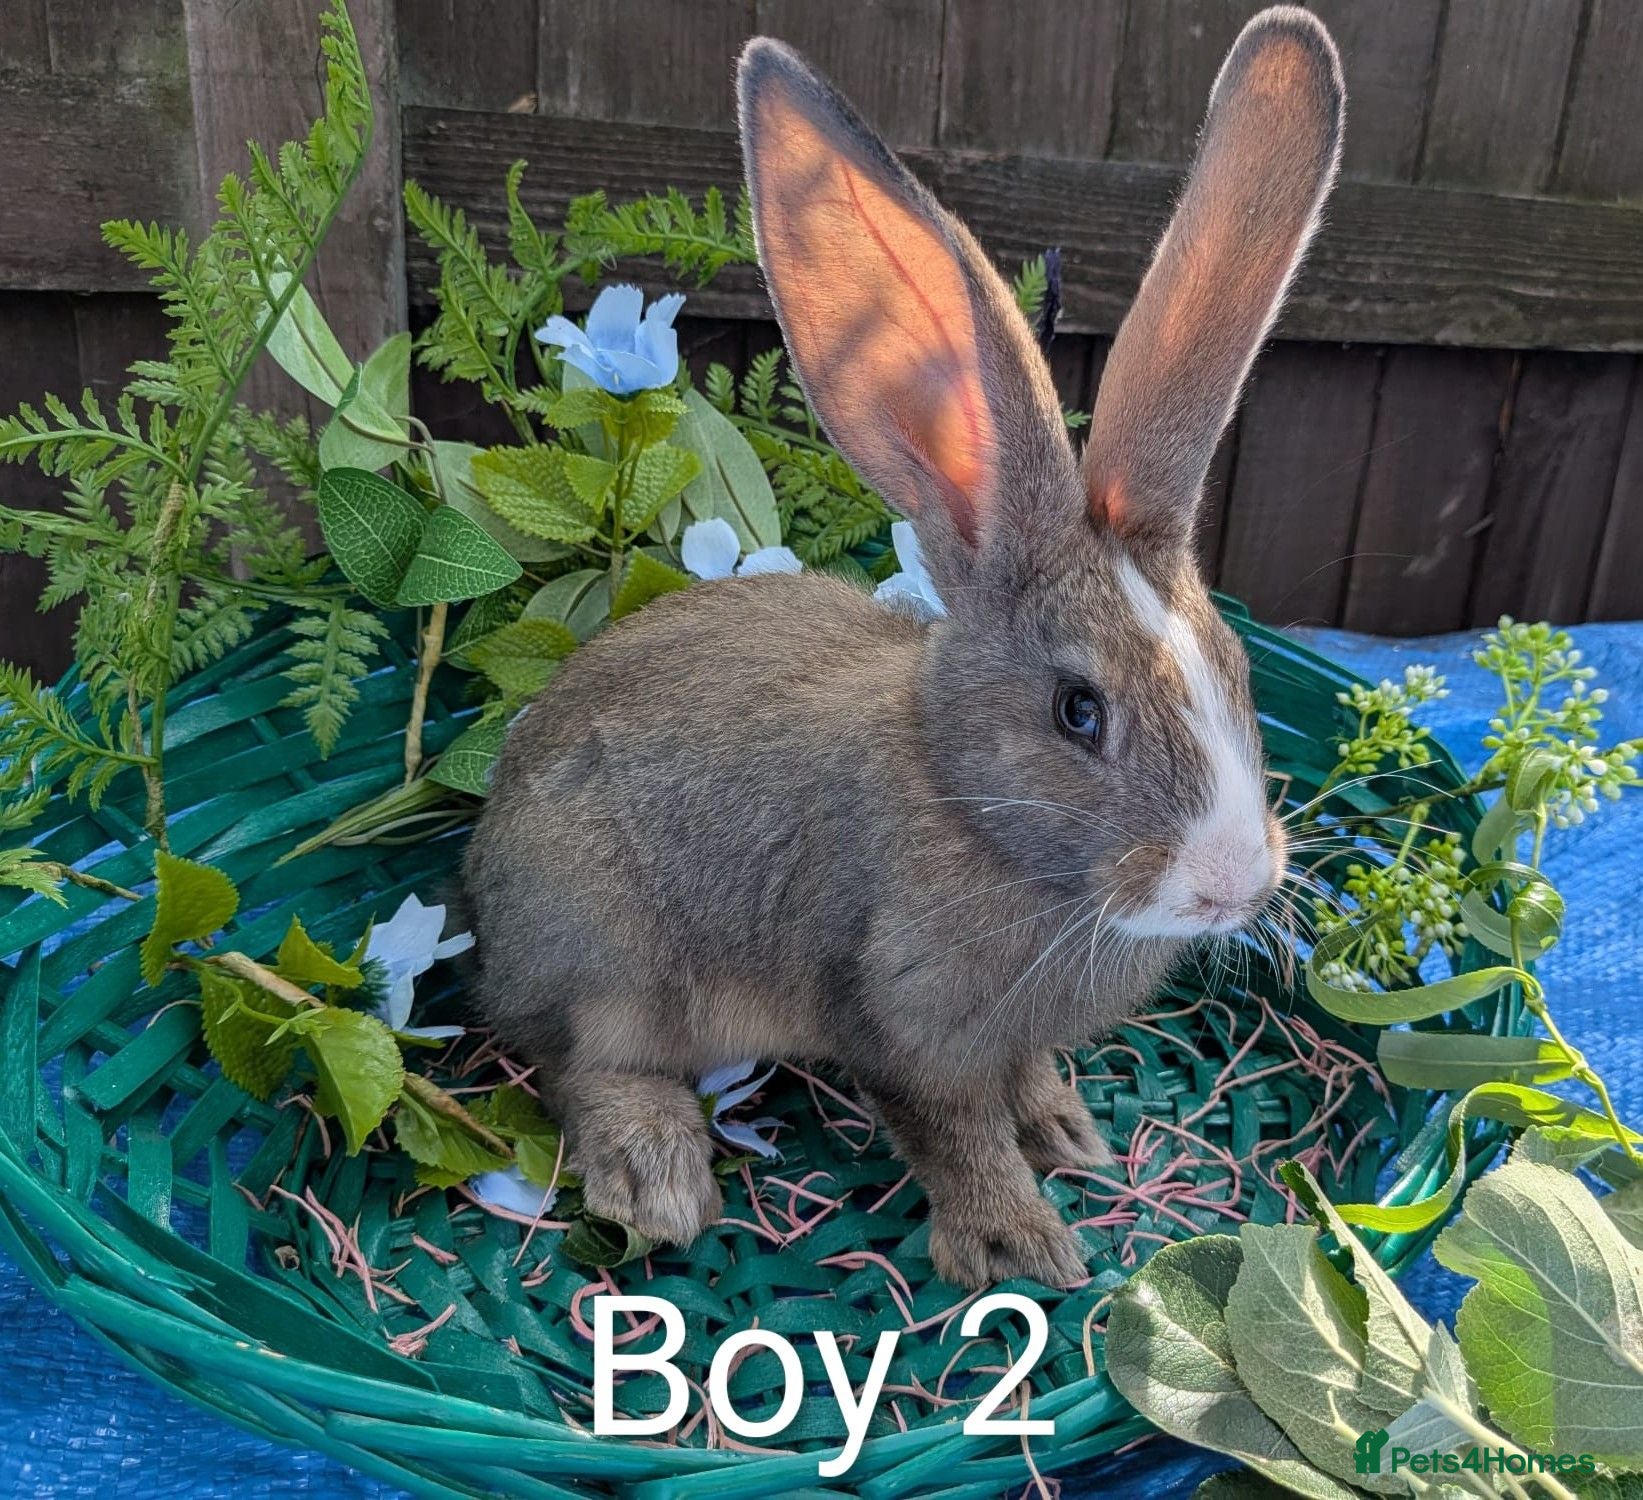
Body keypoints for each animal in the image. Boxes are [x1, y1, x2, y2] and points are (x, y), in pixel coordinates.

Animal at [463, 5, 1344, 1290]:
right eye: (1076, 711)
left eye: (1236, 676)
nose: (1232, 884)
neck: (975, 817)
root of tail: (476, 891)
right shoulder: (900, 1022)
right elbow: (950, 1130)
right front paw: (1021, 1246)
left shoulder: (1004, 1034)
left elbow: (1018, 1082)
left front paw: (1064, 1131)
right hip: (606, 957)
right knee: (584, 1062)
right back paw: (658, 1181)